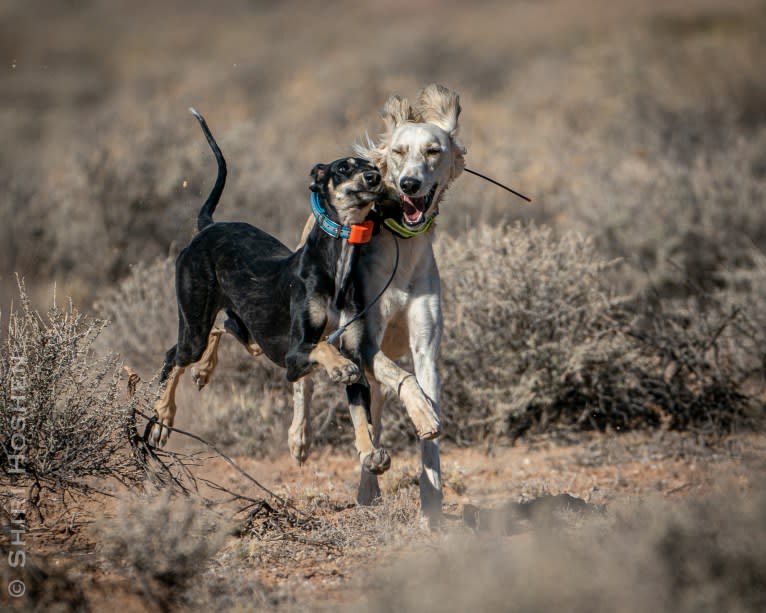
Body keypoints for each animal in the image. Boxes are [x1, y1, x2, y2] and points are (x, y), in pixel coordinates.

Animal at [145, 107, 384, 448]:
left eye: (373, 166)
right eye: (343, 168)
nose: (374, 178)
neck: (335, 262)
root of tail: (207, 226)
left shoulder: (353, 349)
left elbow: (360, 409)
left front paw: (370, 451)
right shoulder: (293, 357)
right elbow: (322, 347)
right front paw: (338, 366)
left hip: (253, 332)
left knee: (225, 325)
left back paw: (203, 370)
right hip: (195, 322)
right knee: (174, 355)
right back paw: (163, 416)